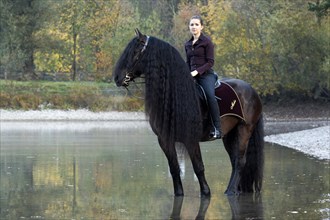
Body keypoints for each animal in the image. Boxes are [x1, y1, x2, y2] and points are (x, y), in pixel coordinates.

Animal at [113, 29, 262, 196]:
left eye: (135, 51)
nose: (117, 77)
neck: (175, 95)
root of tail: (252, 90)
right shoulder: (165, 140)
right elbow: (174, 169)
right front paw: (179, 193)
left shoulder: (190, 139)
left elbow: (199, 167)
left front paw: (206, 192)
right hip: (230, 134)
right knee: (234, 160)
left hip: (245, 129)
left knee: (240, 161)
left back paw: (230, 191)